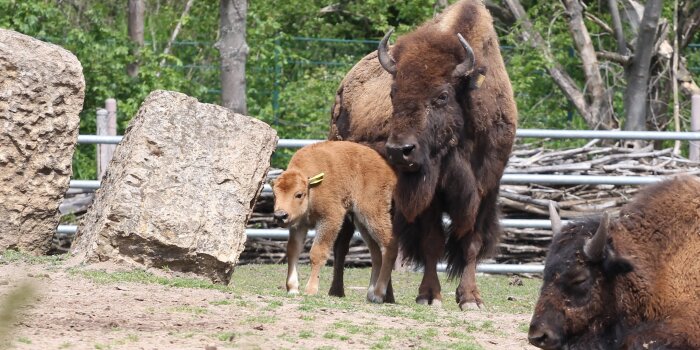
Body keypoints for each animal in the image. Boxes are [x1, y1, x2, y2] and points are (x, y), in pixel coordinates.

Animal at [270, 141, 396, 302]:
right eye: (274, 194)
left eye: (299, 194)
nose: (280, 216)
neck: (312, 187)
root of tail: (387, 170)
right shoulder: (299, 225)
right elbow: (293, 250)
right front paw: (292, 288)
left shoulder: (330, 219)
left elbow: (317, 252)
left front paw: (310, 290)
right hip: (362, 223)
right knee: (376, 254)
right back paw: (370, 294)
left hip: (373, 213)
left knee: (389, 246)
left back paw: (379, 295)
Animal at [326, 0, 516, 308]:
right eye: (393, 92)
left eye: (442, 95)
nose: (398, 151)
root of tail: (344, 87)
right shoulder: (429, 195)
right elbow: (432, 242)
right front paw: (429, 296)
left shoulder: (485, 190)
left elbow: (472, 243)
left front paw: (470, 299)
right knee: (344, 237)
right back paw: (337, 291)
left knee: (385, 242)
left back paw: (387, 295)